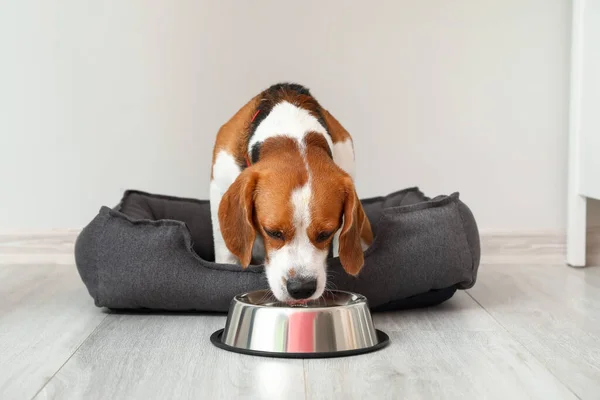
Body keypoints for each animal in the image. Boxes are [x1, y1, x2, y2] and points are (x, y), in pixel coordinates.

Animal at [210, 83, 370, 304]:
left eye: (326, 233)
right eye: (272, 232)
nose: (301, 289)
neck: (293, 136)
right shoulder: (217, 186)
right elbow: (225, 251)